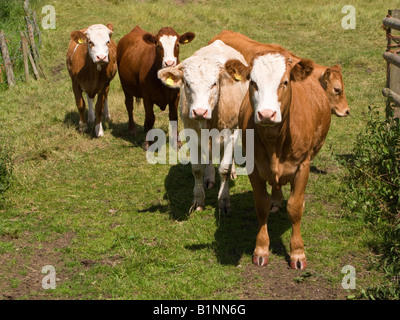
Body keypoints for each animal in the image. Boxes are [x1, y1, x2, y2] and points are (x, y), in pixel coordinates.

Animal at [157, 40, 248, 215]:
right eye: (187, 84)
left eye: (214, 83)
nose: (199, 111)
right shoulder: (192, 135)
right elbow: (197, 169)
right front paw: (198, 200)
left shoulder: (231, 133)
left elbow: (224, 168)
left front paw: (224, 201)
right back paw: (209, 177)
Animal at [227, 50, 332, 270]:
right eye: (253, 82)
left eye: (284, 82)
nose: (267, 114)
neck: (274, 141)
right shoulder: (254, 168)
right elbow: (261, 205)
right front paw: (261, 249)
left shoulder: (303, 167)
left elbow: (294, 207)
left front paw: (297, 253)